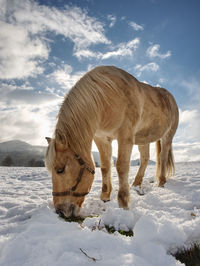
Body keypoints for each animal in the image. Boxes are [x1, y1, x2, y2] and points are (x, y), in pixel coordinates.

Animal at [45, 65, 178, 217]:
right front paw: (105, 195)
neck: (106, 100)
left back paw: (161, 182)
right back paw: (136, 184)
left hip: (168, 136)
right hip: (143, 139)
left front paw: (124, 202)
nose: (60, 211)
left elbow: (121, 166)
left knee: (162, 157)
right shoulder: (101, 138)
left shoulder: (125, 136)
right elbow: (105, 166)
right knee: (145, 159)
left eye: (60, 170)